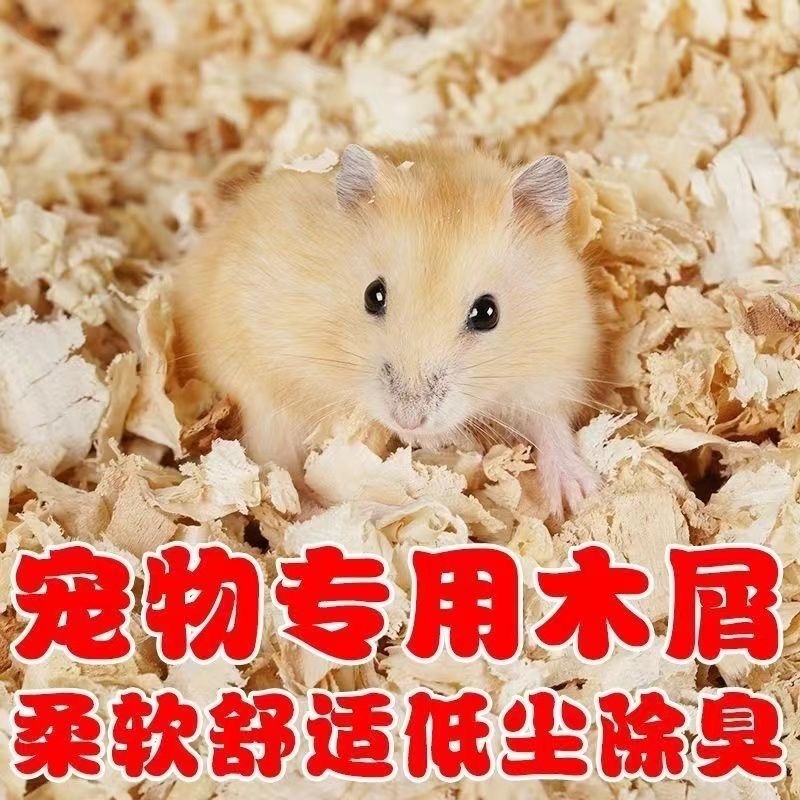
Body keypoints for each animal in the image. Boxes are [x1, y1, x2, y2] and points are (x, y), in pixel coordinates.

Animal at [173, 144, 600, 519]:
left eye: (487, 313)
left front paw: (579, 496)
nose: (407, 420)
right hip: (262, 409)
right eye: (372, 295)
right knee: (285, 479)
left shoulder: (555, 364)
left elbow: (550, 424)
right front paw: (429, 440)